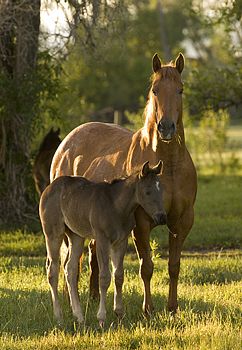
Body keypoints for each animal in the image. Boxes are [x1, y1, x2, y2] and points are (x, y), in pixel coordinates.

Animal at [39, 161, 166, 326]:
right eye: (148, 191)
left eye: (161, 190)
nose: (162, 217)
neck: (116, 207)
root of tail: (48, 188)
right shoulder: (102, 240)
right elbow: (104, 277)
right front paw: (101, 318)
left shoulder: (121, 241)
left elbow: (119, 275)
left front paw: (119, 313)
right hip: (53, 233)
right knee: (52, 270)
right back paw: (59, 317)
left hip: (76, 236)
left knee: (70, 269)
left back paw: (79, 316)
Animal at [50, 53, 197, 314]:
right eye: (155, 90)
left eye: (180, 90)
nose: (166, 128)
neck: (167, 165)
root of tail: (66, 143)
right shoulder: (141, 223)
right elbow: (146, 266)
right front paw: (148, 310)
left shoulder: (182, 221)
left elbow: (174, 266)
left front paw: (172, 308)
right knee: (68, 261)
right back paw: (70, 302)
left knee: (92, 257)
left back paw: (93, 298)